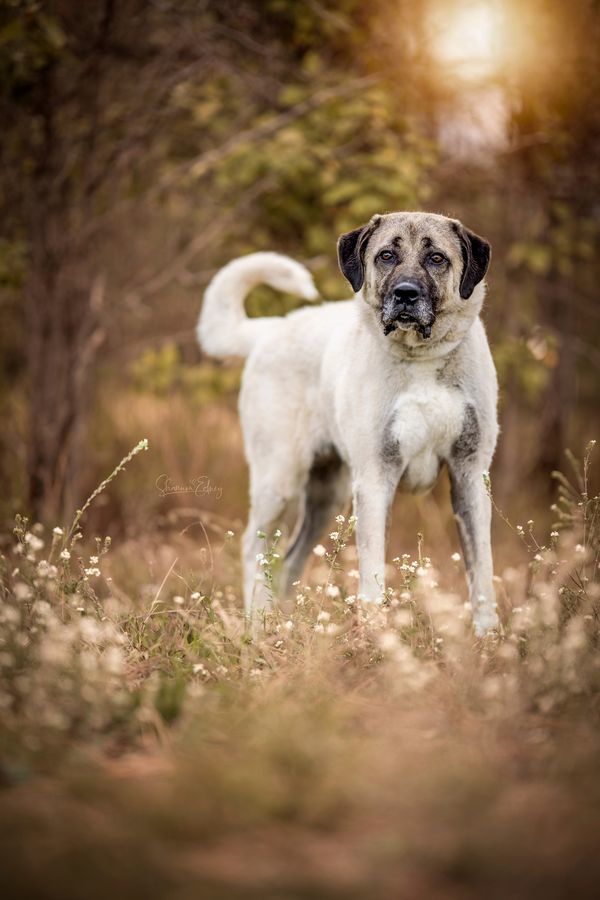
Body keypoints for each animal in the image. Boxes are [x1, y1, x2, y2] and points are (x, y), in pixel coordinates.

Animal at [199, 210, 500, 632]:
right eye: (386, 255)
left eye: (437, 258)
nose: (405, 294)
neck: (421, 359)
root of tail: (272, 327)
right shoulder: (375, 479)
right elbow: (372, 574)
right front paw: (376, 636)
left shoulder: (470, 475)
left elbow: (482, 569)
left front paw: (489, 636)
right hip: (279, 481)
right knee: (253, 550)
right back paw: (257, 626)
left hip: (327, 496)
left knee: (288, 560)